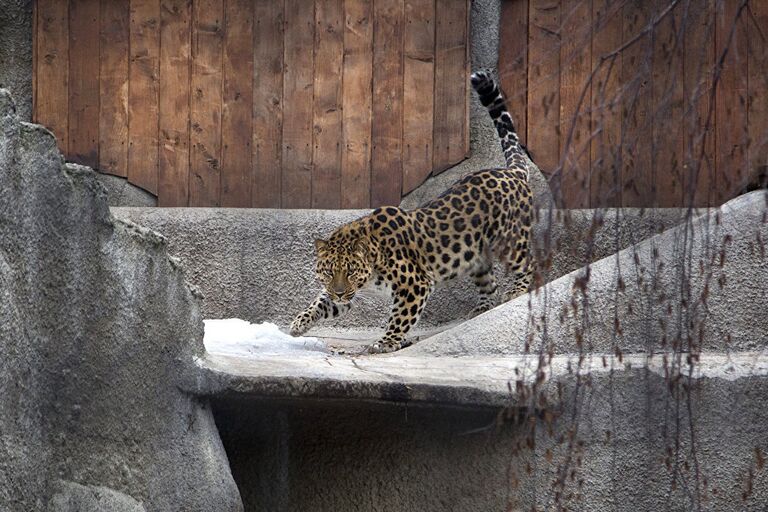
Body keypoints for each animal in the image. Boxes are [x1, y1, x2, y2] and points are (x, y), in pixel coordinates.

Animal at [288, 71, 536, 352]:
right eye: (330, 271)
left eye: (350, 271)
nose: (339, 292)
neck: (373, 259)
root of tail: (511, 172)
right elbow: (322, 301)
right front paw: (299, 323)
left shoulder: (415, 284)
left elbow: (400, 317)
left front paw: (385, 342)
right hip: (475, 257)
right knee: (490, 283)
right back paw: (481, 308)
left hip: (511, 242)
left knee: (529, 262)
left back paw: (517, 290)